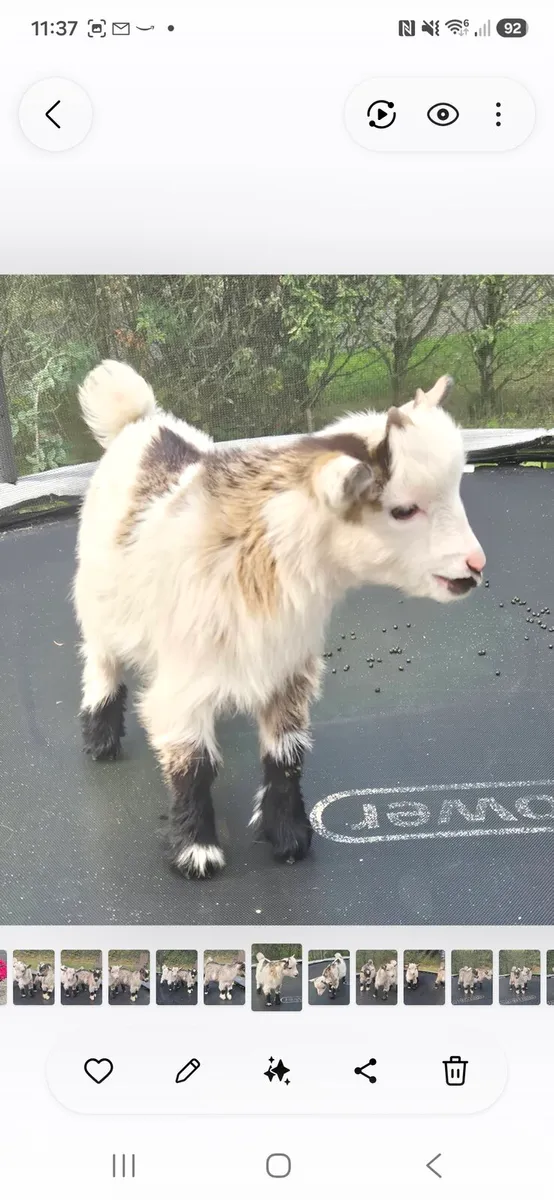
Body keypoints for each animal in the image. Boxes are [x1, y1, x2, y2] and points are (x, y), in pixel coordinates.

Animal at [74, 363, 485, 878]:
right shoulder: (182, 683)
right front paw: (196, 851)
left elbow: (286, 754)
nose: (475, 565)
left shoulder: (288, 668)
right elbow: (192, 763)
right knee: (101, 660)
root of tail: (140, 422)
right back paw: (100, 737)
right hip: (97, 602)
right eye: (403, 509)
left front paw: (288, 836)